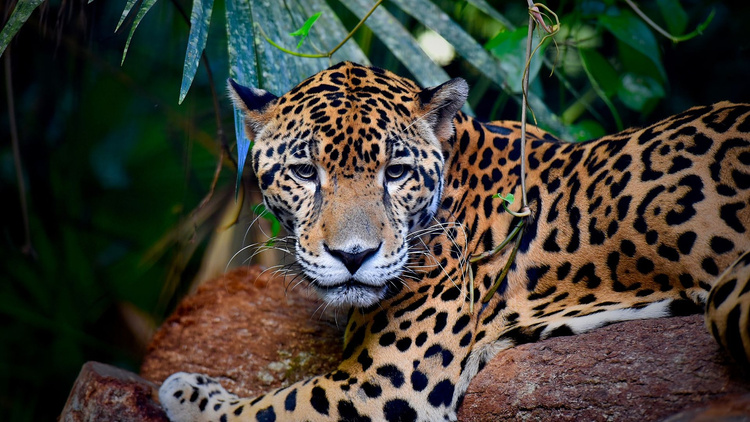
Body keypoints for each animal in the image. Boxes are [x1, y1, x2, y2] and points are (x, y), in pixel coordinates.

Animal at [159, 61, 750, 422]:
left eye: (396, 172)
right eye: (305, 172)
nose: (353, 256)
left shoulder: (382, 387)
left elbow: (262, 409)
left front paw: (190, 392)